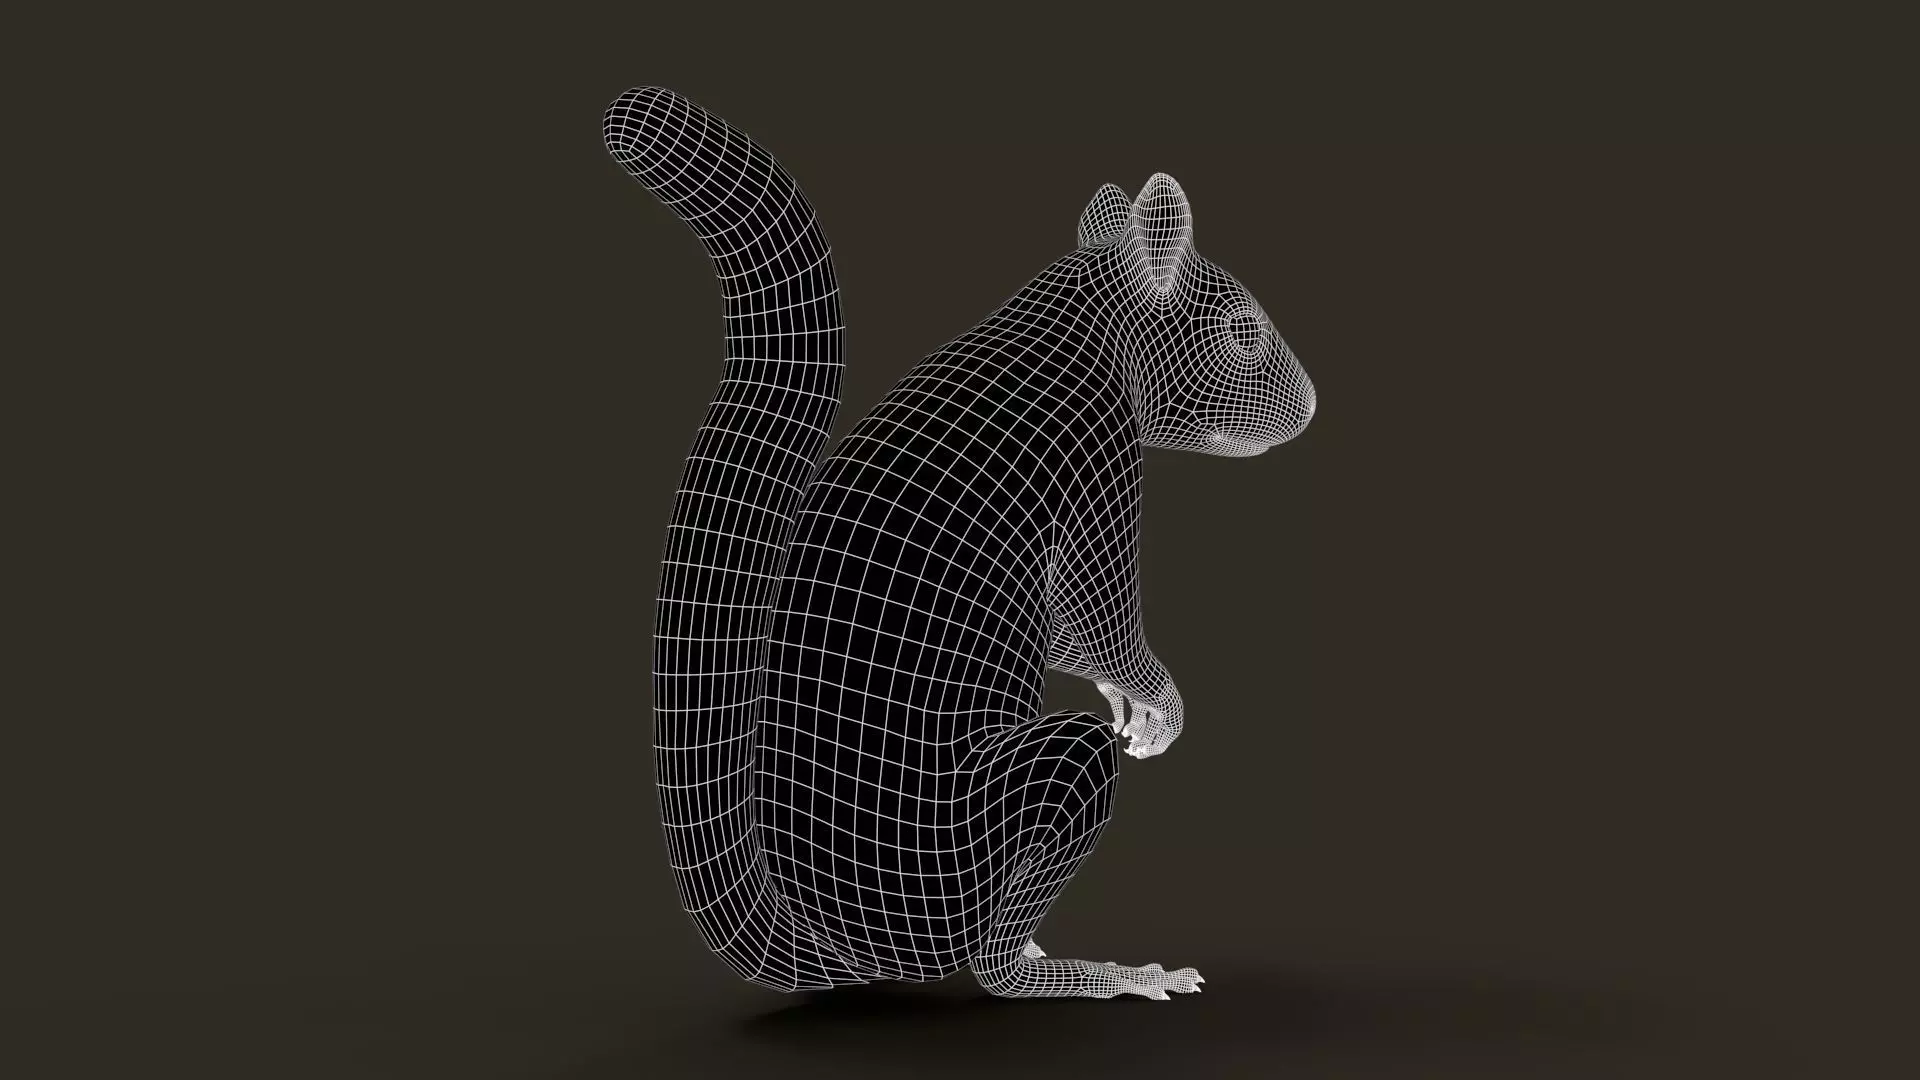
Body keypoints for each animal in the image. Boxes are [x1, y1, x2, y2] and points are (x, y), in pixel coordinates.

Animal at [605, 86, 1314, 1001]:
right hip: (994, 823)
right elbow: (1103, 613)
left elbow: (1070, 633)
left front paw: (1125, 698)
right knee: (994, 966)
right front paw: (1156, 698)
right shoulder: (1100, 451)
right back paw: (1091, 972)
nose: (1312, 406)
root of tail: (849, 952)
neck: (1075, 323)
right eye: (1241, 332)